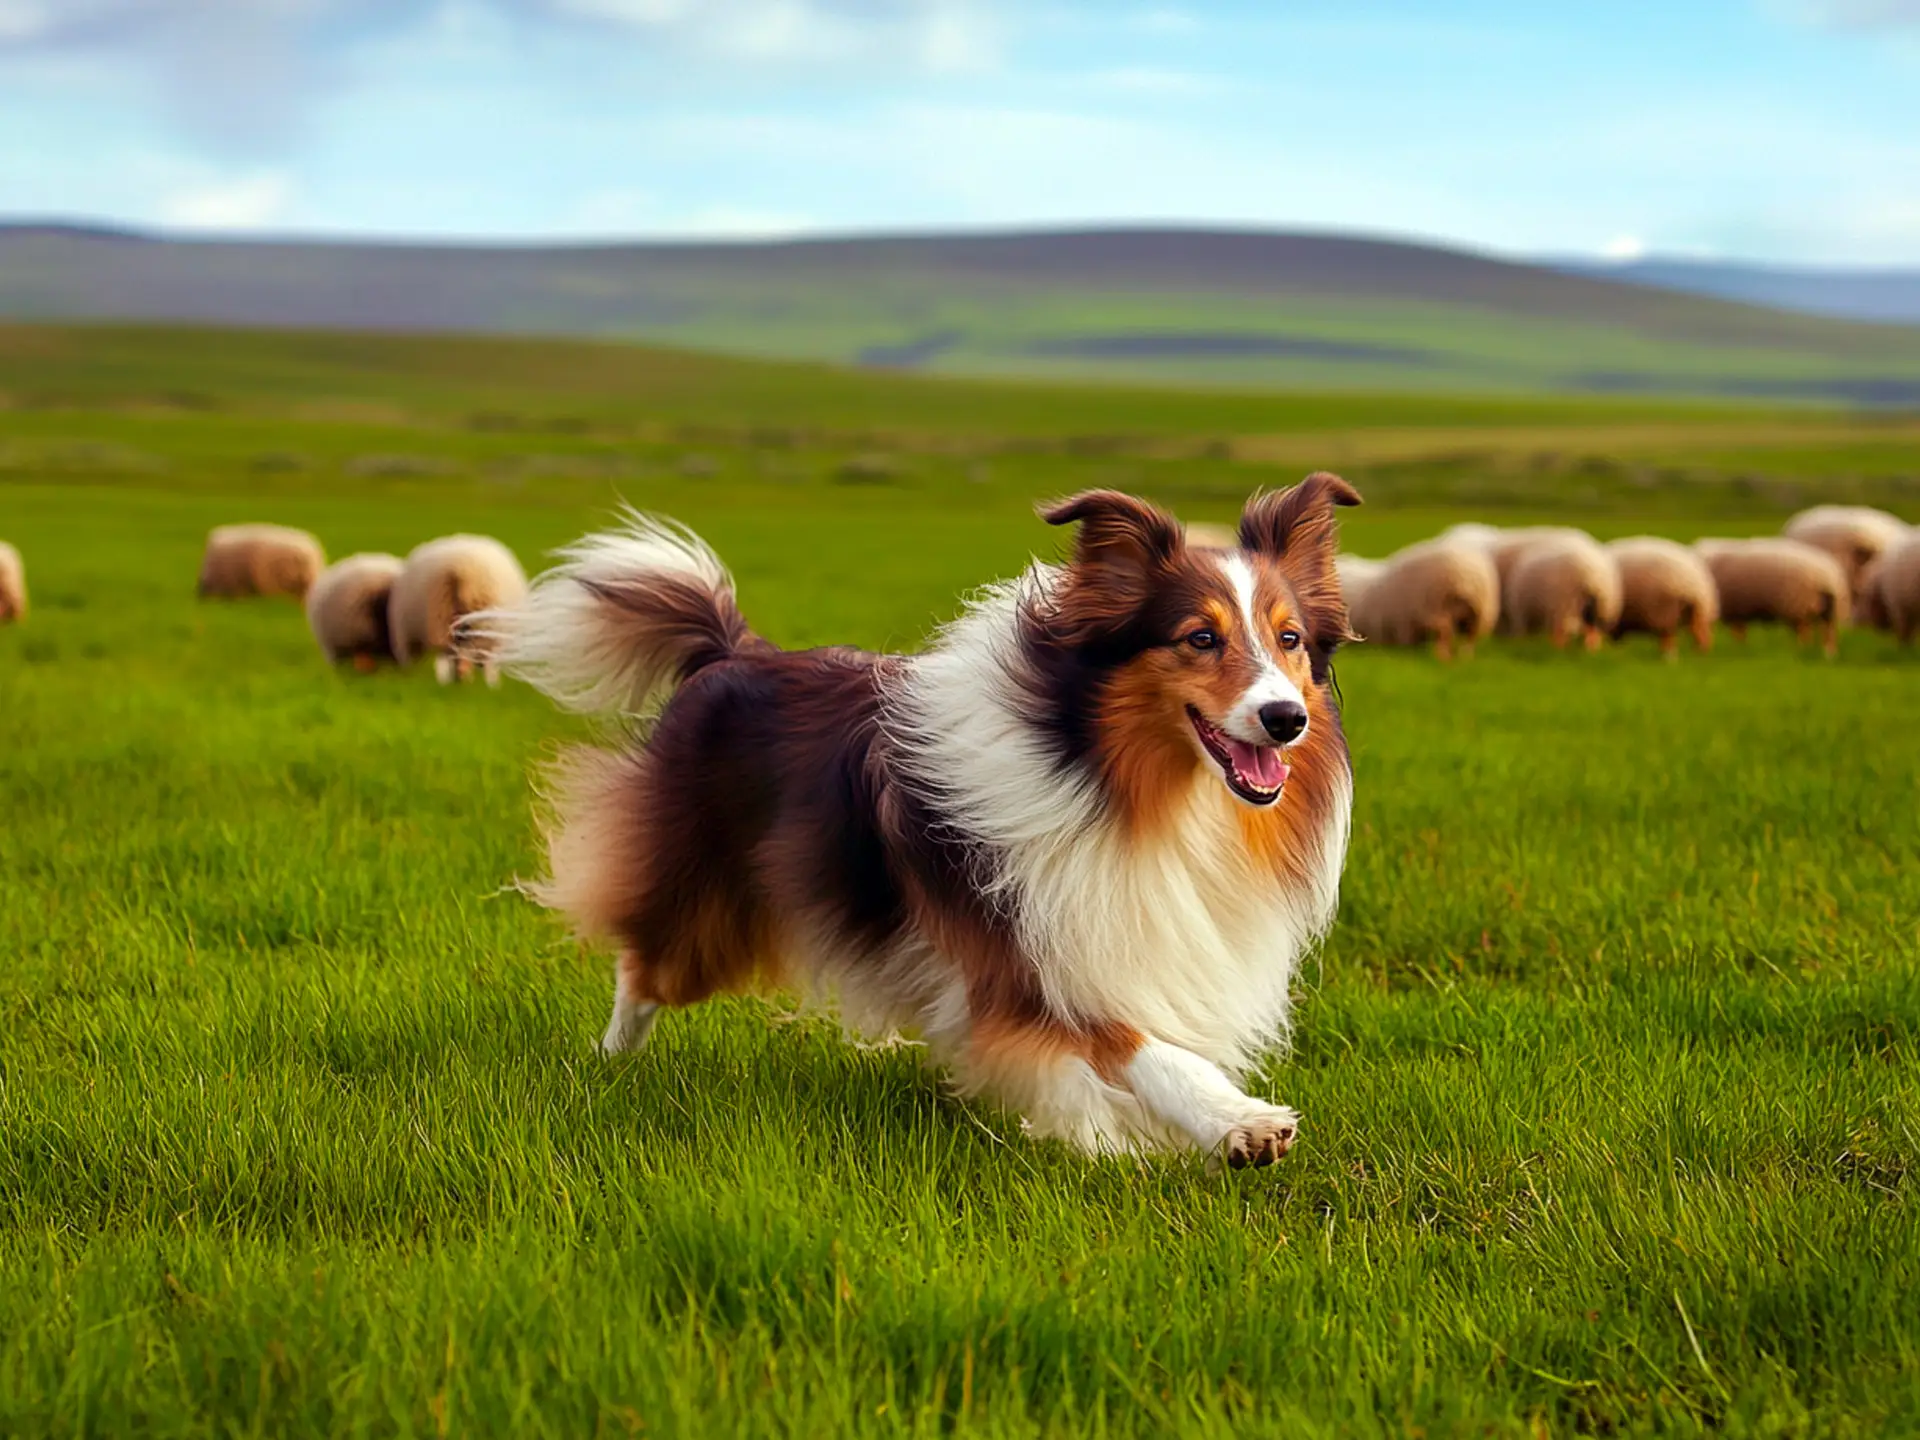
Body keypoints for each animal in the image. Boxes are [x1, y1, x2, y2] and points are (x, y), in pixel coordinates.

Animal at [470, 480, 1359, 1167]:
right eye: (1199, 637)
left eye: (1289, 640)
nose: (1284, 719)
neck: (1118, 781)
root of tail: (733, 650)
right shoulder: (1027, 956)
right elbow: (1139, 1047)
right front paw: (1237, 1123)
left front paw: (1120, 1135)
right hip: (701, 904)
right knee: (644, 968)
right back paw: (609, 1061)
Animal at [1351, 537, 1497, 664]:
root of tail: (1467, 580)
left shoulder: (1405, 625)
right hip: (1477, 616)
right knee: (1468, 640)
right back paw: (1464, 659)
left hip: (1436, 608)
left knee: (1445, 633)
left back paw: (1443, 658)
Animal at [1697, 537, 1843, 660]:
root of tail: (1826, 576)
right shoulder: (1738, 610)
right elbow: (1740, 633)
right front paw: (1741, 648)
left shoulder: (1734, 609)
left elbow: (1738, 633)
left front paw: (1738, 649)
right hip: (1827, 609)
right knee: (1829, 632)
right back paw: (1828, 655)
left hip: (1798, 605)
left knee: (1805, 633)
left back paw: (1801, 651)